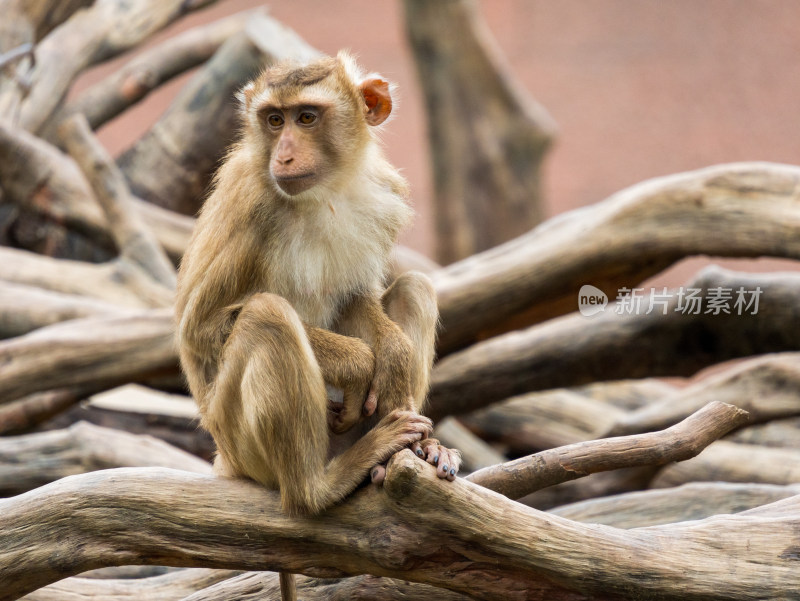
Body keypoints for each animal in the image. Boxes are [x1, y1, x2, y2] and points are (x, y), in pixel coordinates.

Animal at [177, 52, 460, 520]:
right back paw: (317, 488)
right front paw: (359, 363)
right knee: (267, 315)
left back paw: (411, 452)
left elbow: (355, 298)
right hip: (239, 441)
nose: (285, 156)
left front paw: (393, 356)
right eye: (275, 120)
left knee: (414, 288)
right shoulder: (250, 204)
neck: (324, 192)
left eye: (306, 117)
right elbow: (200, 328)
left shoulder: (382, 195)